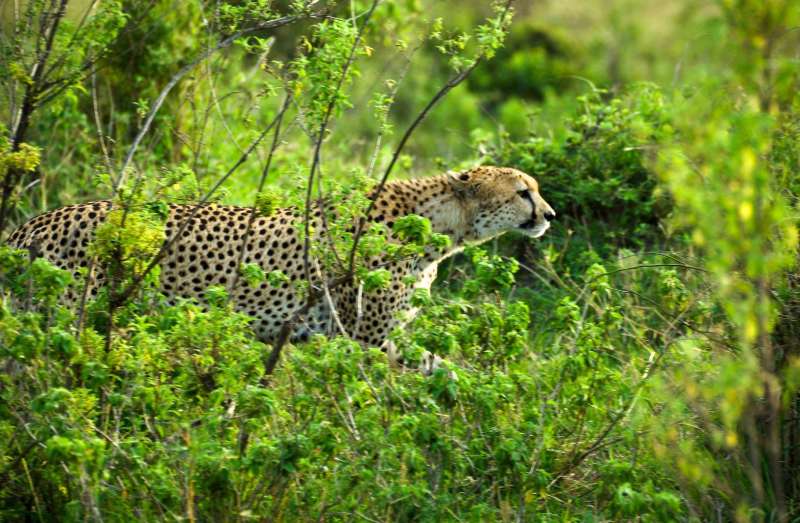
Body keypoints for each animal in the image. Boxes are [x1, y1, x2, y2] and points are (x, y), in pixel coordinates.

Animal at [5, 165, 556, 374]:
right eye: (522, 192)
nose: (549, 215)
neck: (441, 226)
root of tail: (34, 221)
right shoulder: (368, 340)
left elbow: (443, 369)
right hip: (62, 320)